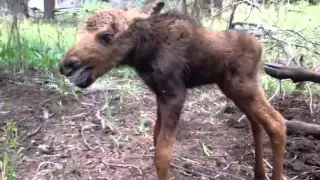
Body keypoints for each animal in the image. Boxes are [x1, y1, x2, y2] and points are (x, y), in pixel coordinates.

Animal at [58, 5, 286, 180]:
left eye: (106, 36)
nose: (65, 65)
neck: (143, 54)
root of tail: (261, 47)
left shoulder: (175, 94)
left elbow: (163, 153)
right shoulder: (160, 95)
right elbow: (155, 138)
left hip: (244, 87)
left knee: (277, 123)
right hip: (233, 89)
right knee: (257, 123)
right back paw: (259, 174)